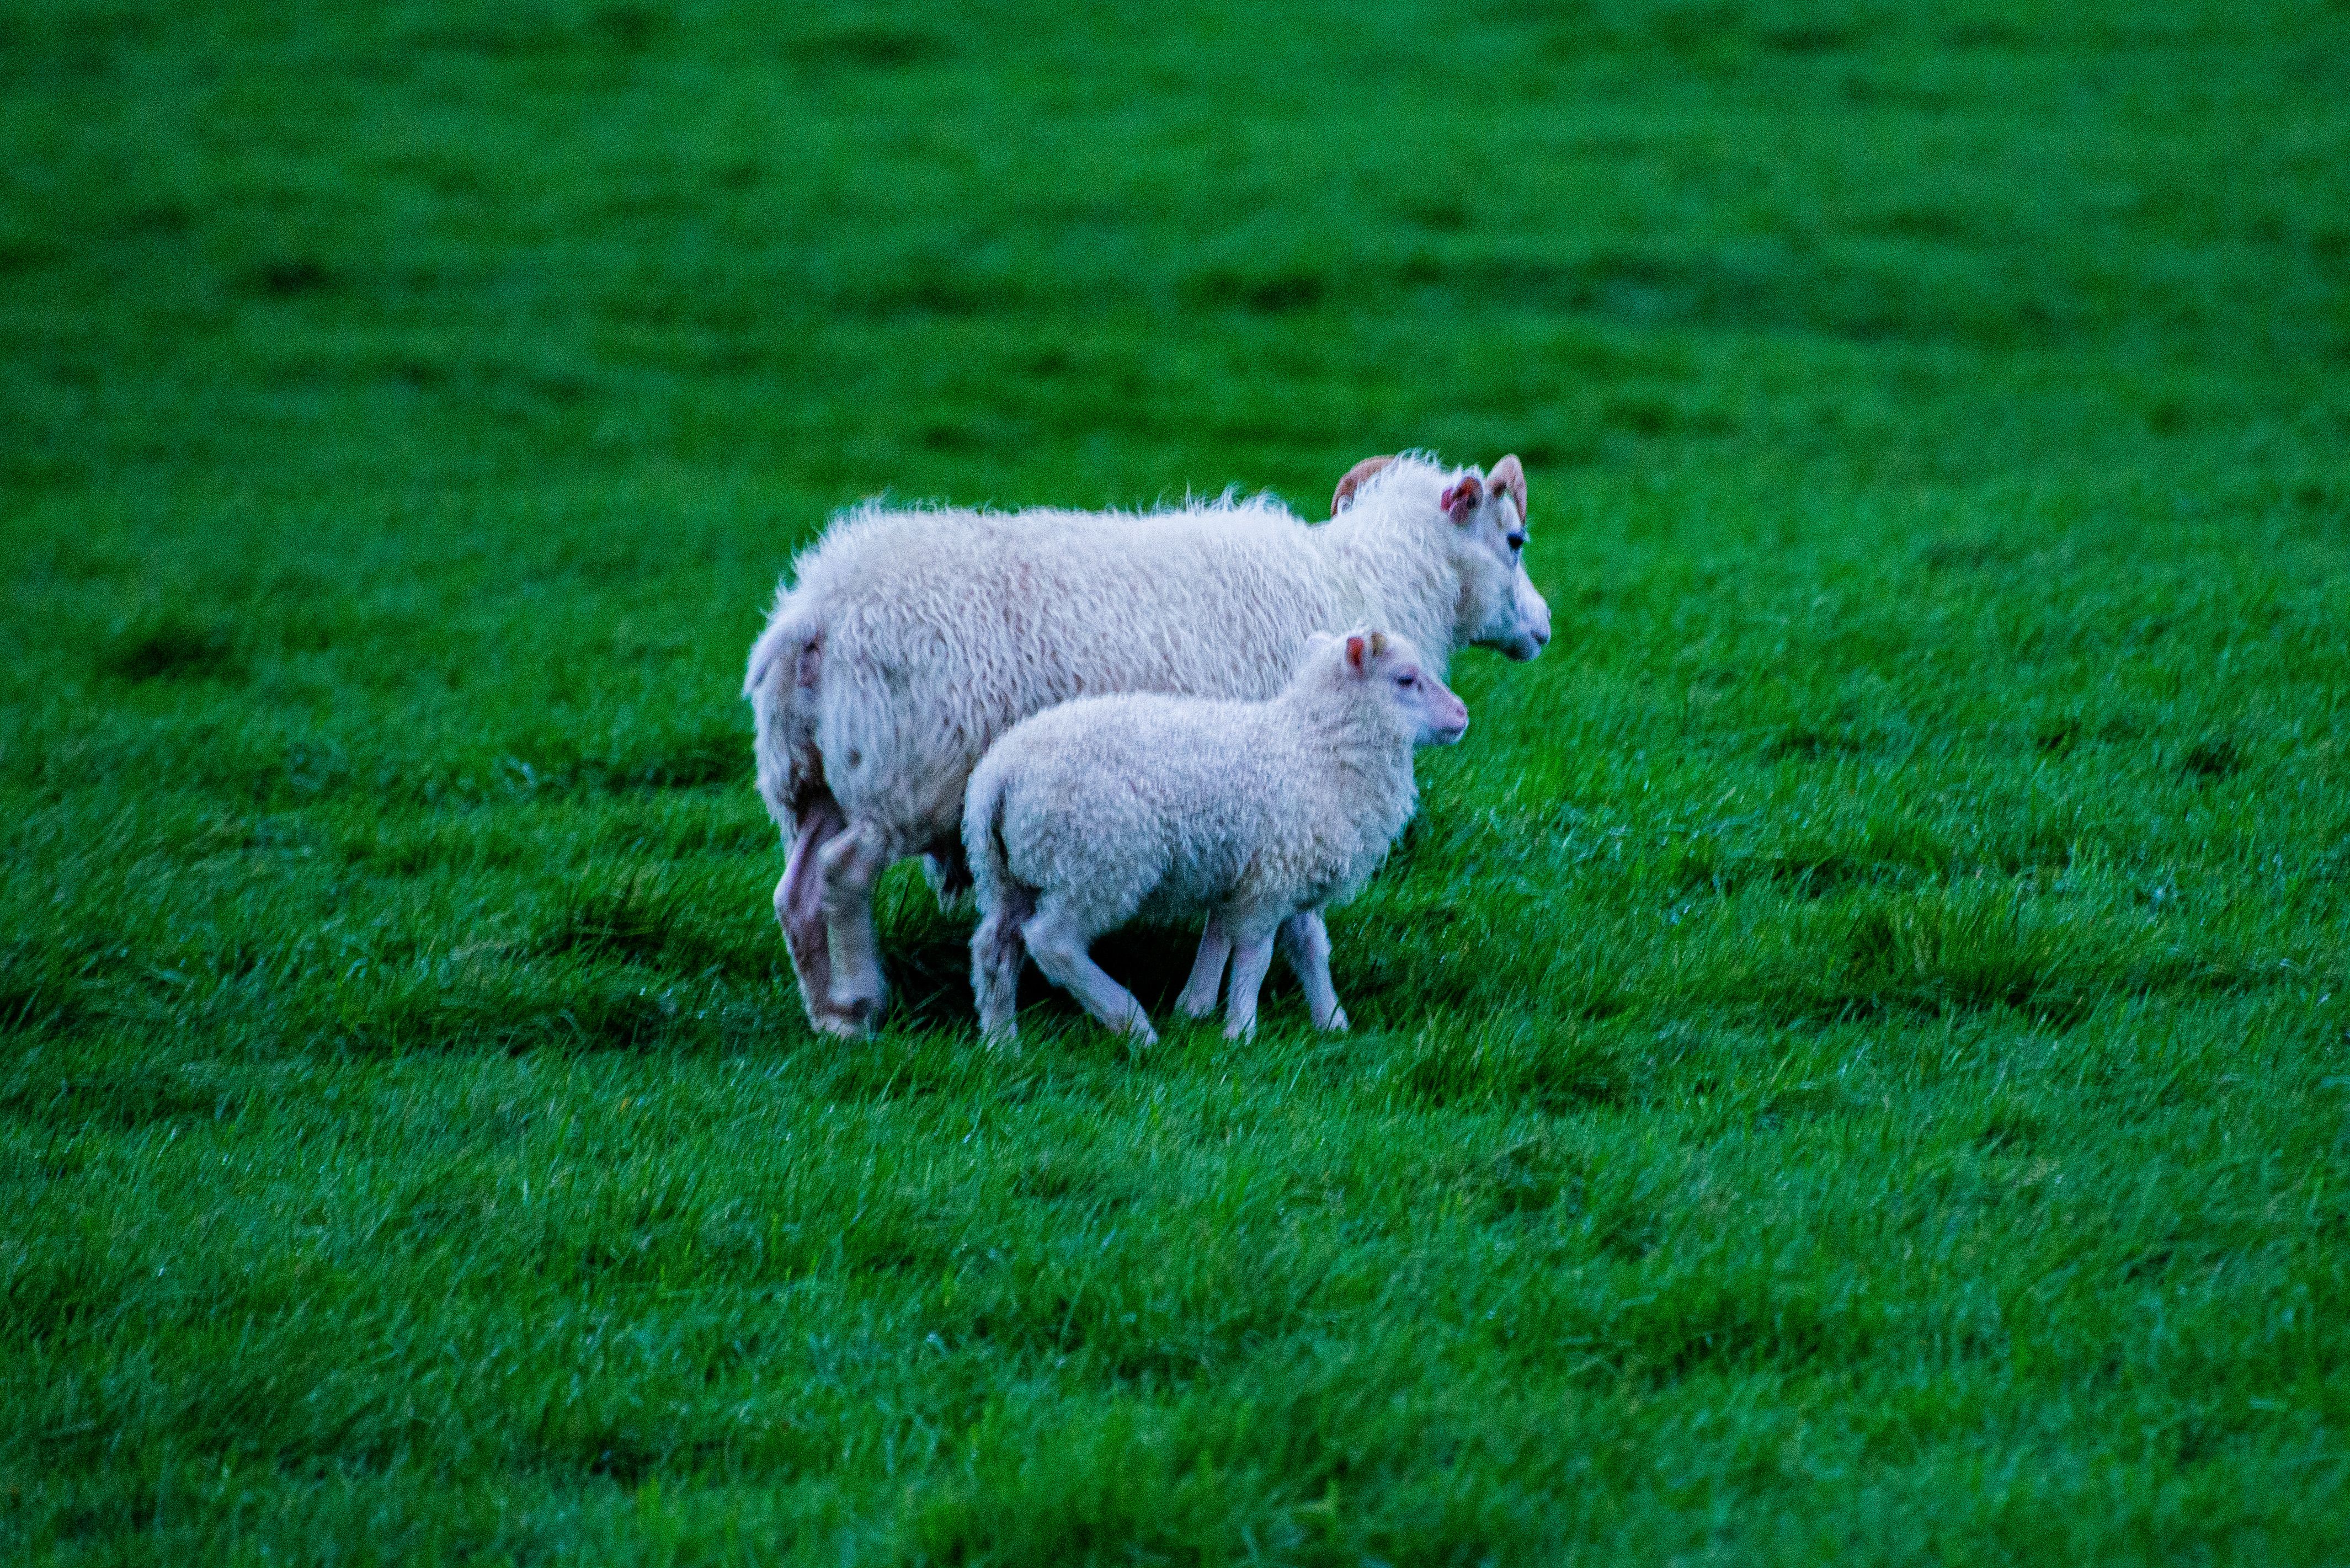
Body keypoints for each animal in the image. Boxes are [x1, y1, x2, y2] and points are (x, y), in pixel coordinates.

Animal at [964, 629, 1467, 1046]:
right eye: (1406, 679)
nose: (1462, 715)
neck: (1317, 749)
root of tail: (999, 773)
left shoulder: (1274, 874)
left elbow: (1304, 949)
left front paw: (1328, 1022)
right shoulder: (1270, 880)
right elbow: (1255, 957)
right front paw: (1239, 1032)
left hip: (1008, 872)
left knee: (995, 947)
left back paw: (1001, 1042)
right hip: (1098, 864)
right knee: (1052, 943)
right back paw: (1132, 1024)